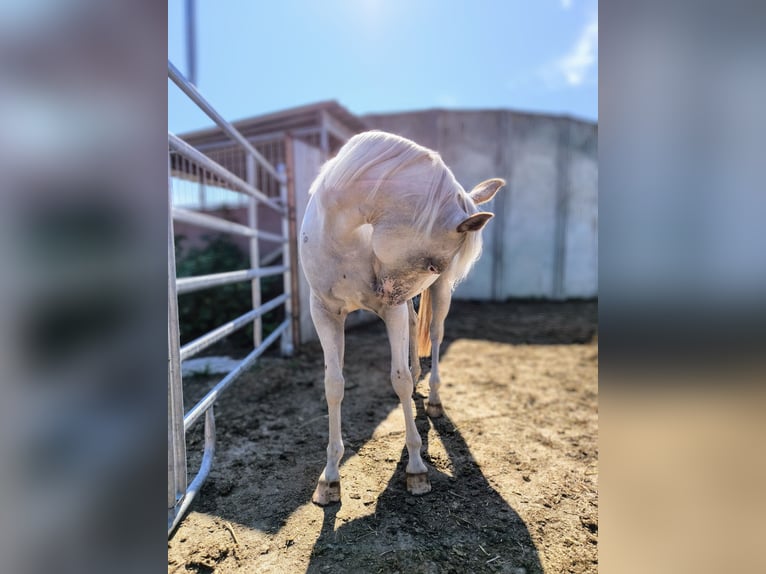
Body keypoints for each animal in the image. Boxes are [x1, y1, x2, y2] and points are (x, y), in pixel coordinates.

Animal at [298, 130, 504, 504]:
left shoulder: (391, 309)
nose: (383, 293)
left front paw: (416, 469)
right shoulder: (324, 312)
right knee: (412, 331)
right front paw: (330, 477)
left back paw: (433, 398)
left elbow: (400, 380)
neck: (346, 233)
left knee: (434, 336)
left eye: (436, 267)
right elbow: (333, 385)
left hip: (437, 297)